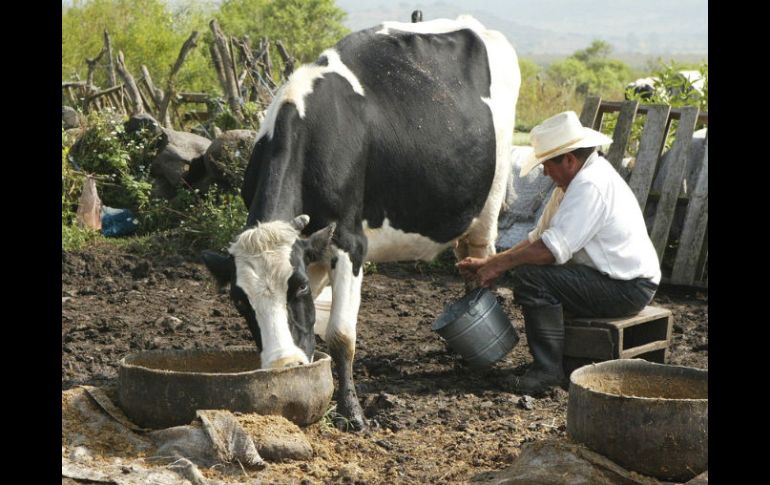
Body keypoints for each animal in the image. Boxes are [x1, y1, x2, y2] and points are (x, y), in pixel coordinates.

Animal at [201, 16, 520, 432]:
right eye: (240, 301)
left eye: (298, 287)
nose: (284, 365)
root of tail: (472, 23)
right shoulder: (313, 246)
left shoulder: (350, 242)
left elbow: (340, 335)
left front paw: (352, 412)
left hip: (491, 198)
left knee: (480, 261)